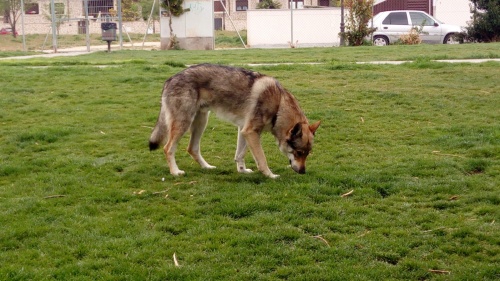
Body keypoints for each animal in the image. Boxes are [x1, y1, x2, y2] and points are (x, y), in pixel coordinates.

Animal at [148, 63, 320, 177]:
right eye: (298, 152)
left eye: (308, 153)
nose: (303, 172)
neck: (278, 105)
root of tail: (169, 79)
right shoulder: (251, 132)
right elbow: (262, 159)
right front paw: (270, 175)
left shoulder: (244, 131)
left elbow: (240, 154)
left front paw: (243, 171)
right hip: (184, 124)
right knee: (168, 148)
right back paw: (175, 172)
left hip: (201, 122)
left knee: (192, 149)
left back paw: (207, 167)